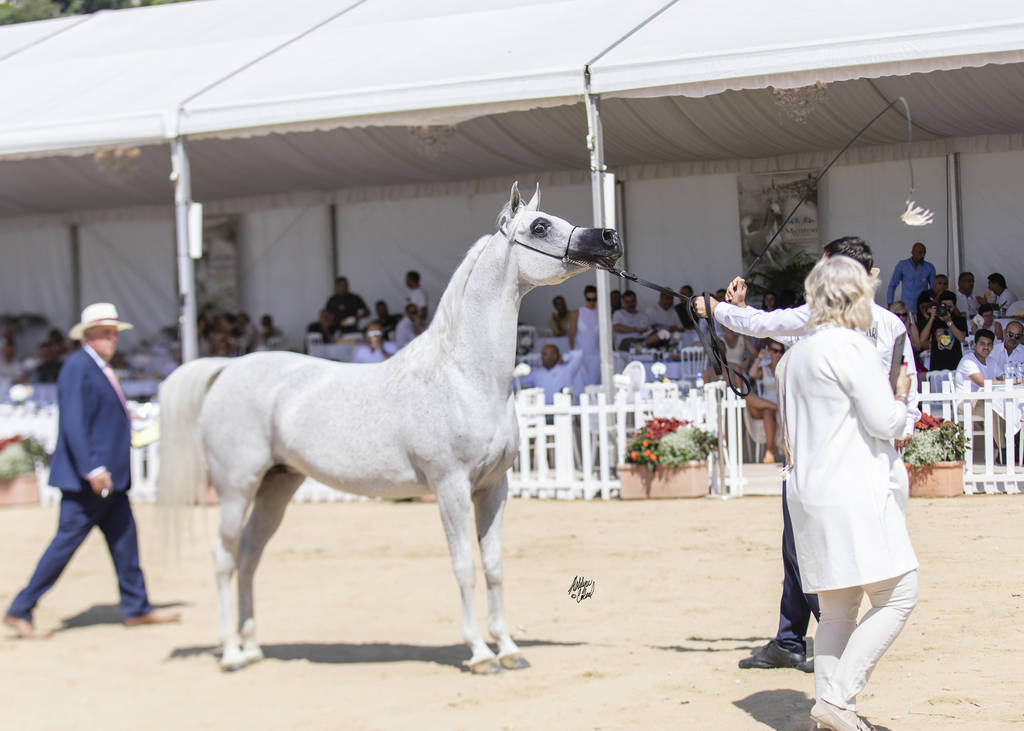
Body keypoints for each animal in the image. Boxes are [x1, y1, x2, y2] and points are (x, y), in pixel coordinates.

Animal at [157, 183, 622, 673]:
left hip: (276, 486)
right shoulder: (451, 487)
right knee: (223, 556)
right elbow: (464, 567)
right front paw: (479, 653)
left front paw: (509, 649)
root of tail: (226, 368)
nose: (609, 238)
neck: (462, 377)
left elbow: (494, 567)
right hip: (236, 487)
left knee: (249, 555)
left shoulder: (493, 488)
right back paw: (230, 652)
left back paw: (252, 647)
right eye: (540, 226)